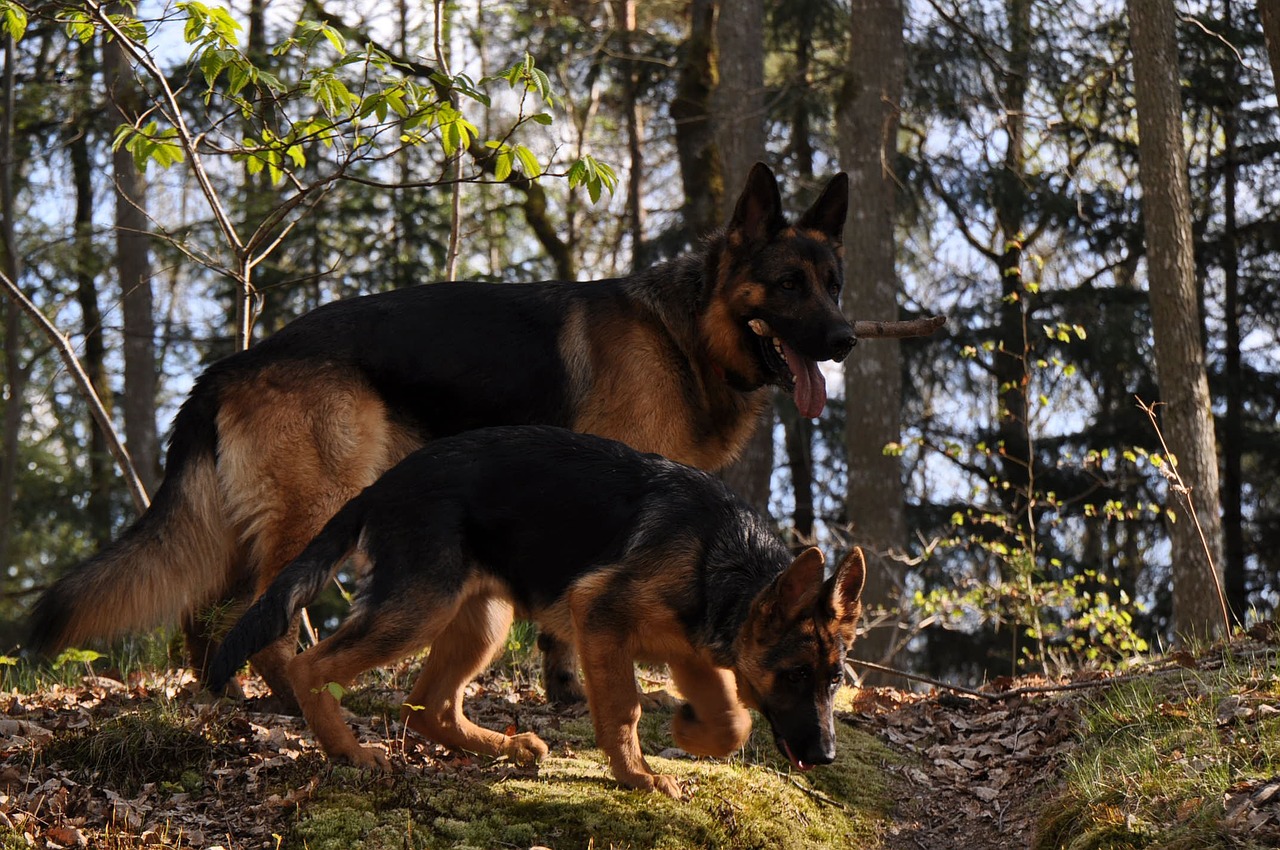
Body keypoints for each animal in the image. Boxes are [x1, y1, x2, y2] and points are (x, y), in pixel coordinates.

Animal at [24, 162, 855, 706]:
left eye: (834, 283)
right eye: (788, 285)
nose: (846, 339)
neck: (685, 331)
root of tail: (232, 364)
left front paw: (565, 697)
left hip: (240, 527)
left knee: (208, 612)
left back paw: (221, 698)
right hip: (317, 505)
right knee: (264, 612)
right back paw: (300, 703)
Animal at [207, 427, 870, 798]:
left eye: (835, 680)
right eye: (794, 676)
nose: (826, 758)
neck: (723, 557)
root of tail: (379, 488)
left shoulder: (693, 653)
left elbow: (733, 720)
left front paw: (688, 734)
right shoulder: (599, 615)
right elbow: (624, 709)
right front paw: (637, 777)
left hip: (483, 620)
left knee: (428, 705)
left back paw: (506, 748)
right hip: (419, 609)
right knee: (313, 665)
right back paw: (348, 751)